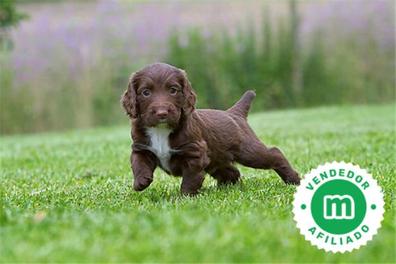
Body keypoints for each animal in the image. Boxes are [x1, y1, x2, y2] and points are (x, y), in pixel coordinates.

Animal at [121, 63, 300, 195]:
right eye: (145, 92)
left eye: (173, 90)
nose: (162, 113)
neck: (161, 130)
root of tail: (234, 112)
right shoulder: (142, 147)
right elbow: (138, 162)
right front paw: (140, 182)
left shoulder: (195, 153)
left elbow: (190, 178)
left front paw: (184, 198)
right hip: (217, 159)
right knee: (232, 171)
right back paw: (225, 188)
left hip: (248, 151)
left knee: (274, 153)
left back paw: (294, 180)